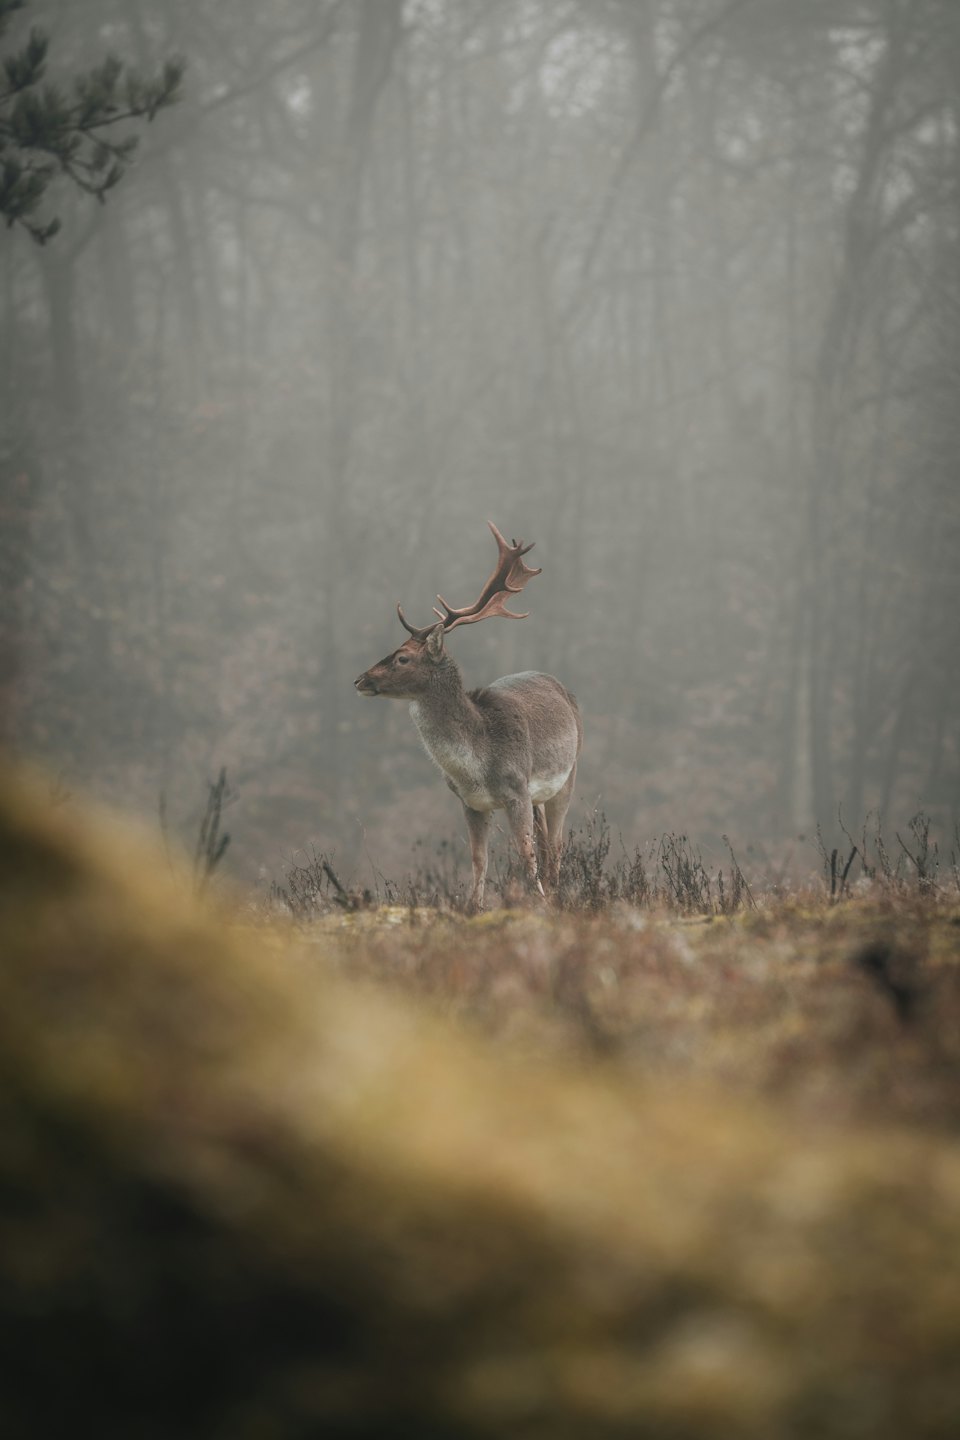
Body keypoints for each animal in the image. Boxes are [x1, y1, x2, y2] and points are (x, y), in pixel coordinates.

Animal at [355, 523, 582, 912]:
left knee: (554, 846)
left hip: (567, 778)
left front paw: (538, 903)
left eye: (402, 658)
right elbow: (479, 858)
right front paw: (474, 906)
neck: (479, 764)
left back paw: (554, 891)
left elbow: (527, 854)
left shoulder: (517, 790)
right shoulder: (470, 802)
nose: (360, 680)